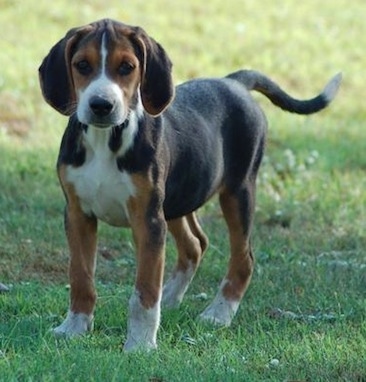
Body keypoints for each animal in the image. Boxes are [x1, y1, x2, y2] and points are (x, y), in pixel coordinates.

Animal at [39, 19, 340, 350]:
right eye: (82, 65)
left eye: (127, 67)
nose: (101, 105)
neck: (106, 139)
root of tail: (234, 82)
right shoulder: (78, 214)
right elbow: (80, 277)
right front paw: (74, 327)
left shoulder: (148, 220)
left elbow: (144, 290)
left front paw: (140, 345)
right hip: (179, 199)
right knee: (196, 244)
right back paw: (170, 298)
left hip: (237, 191)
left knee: (243, 258)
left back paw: (218, 314)